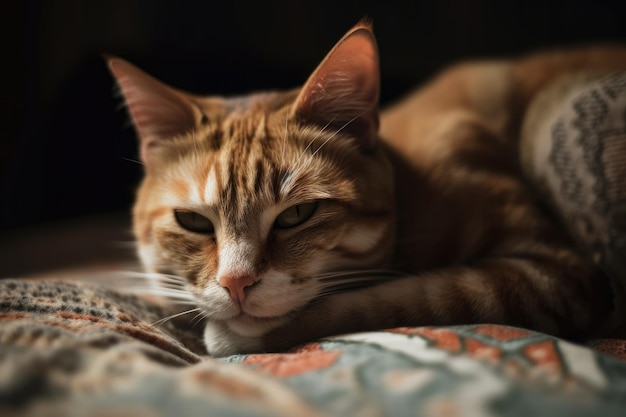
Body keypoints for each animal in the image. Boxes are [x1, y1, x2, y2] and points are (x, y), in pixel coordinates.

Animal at [108, 21, 626, 356]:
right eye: (193, 221)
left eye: (296, 215)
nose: (236, 283)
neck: (412, 194)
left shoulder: (551, 273)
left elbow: (397, 300)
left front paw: (237, 336)